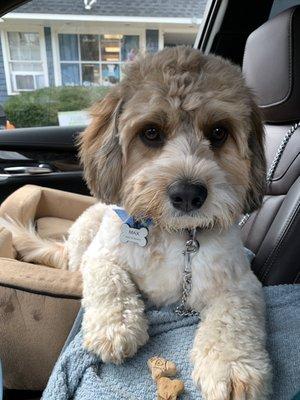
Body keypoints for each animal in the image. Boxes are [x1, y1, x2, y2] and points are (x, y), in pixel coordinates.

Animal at [4, 47, 272, 400]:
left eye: (218, 132)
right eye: (151, 132)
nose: (188, 194)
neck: (172, 234)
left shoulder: (240, 283)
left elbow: (234, 315)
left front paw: (231, 366)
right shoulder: (101, 256)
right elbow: (110, 278)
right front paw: (116, 327)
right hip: (84, 235)